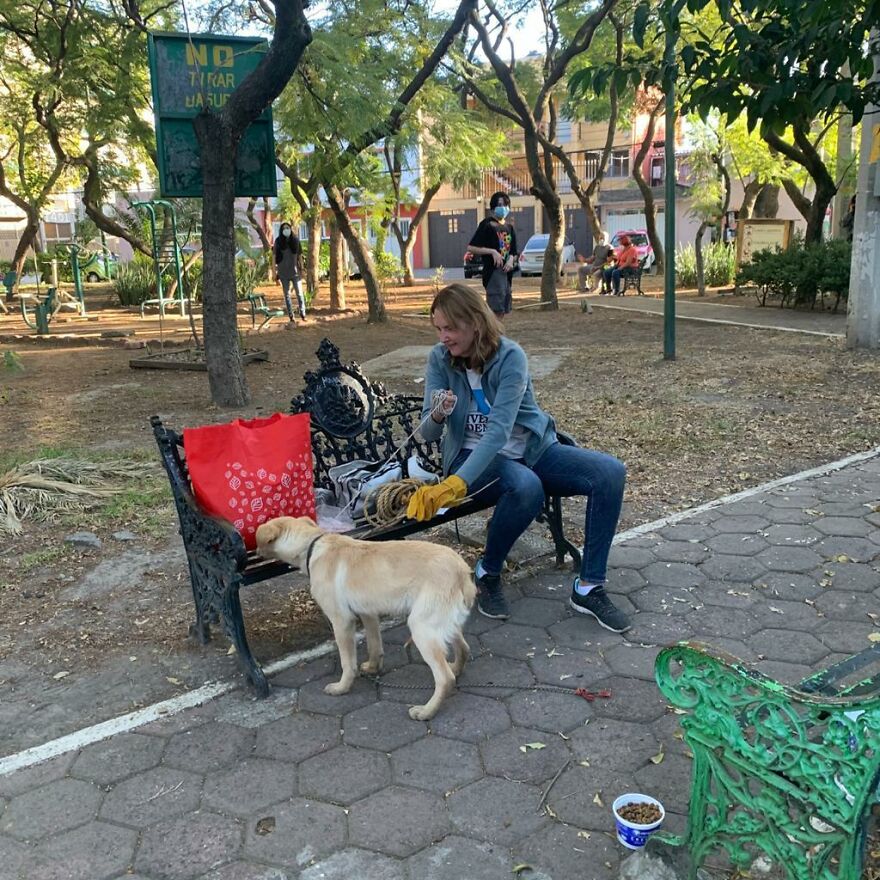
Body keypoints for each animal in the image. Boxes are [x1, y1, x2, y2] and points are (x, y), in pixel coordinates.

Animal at [254, 520, 474, 720]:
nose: (255, 552)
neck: (313, 545)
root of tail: (462, 570)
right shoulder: (368, 613)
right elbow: (374, 644)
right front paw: (373, 667)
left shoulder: (341, 621)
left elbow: (347, 663)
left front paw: (342, 687)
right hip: (444, 623)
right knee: (463, 649)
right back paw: (455, 668)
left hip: (421, 627)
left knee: (445, 678)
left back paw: (427, 711)